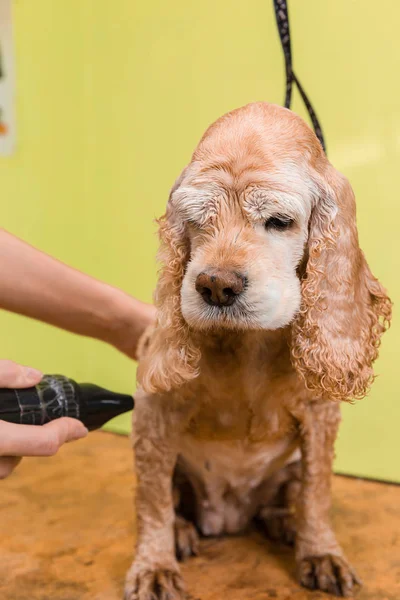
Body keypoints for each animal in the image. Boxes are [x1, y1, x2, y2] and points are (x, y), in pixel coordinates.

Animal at [125, 104, 390, 600]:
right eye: (196, 220)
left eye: (279, 221)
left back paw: (287, 523)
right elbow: (153, 502)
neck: (248, 341)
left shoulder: (320, 417)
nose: (215, 285)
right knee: (170, 497)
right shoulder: (154, 412)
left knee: (288, 496)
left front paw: (321, 553)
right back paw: (183, 532)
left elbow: (318, 493)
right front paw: (153, 565)